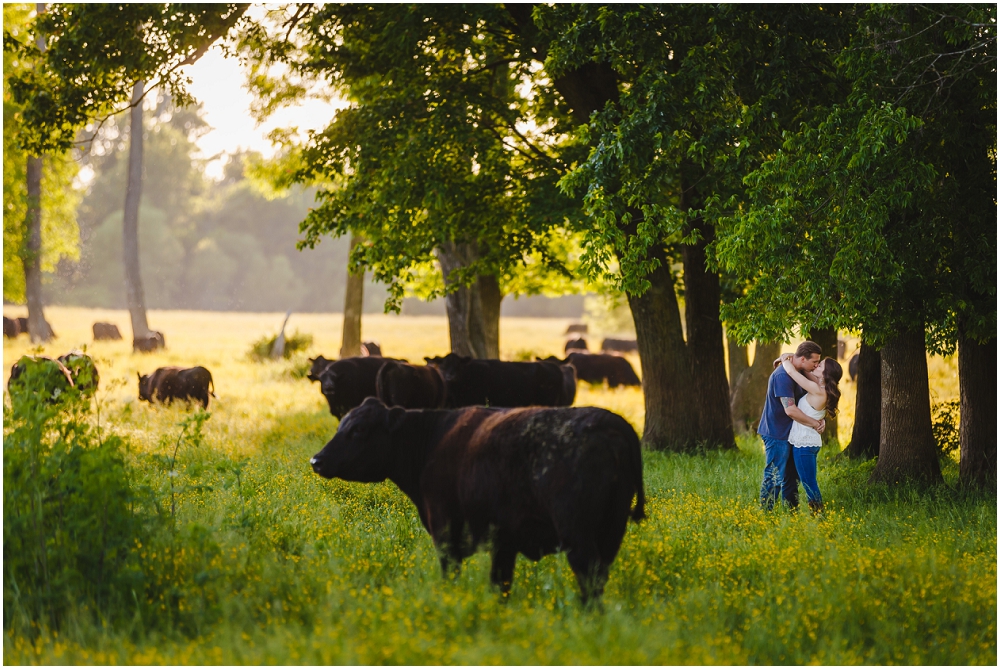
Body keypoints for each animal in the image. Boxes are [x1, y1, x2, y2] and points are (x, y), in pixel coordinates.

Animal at [308, 400, 644, 604]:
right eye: (342, 425)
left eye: (358, 429)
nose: (316, 459)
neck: (431, 441)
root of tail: (612, 424)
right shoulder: (504, 542)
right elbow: (500, 585)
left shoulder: (445, 531)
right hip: (611, 531)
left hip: (577, 533)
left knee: (589, 580)